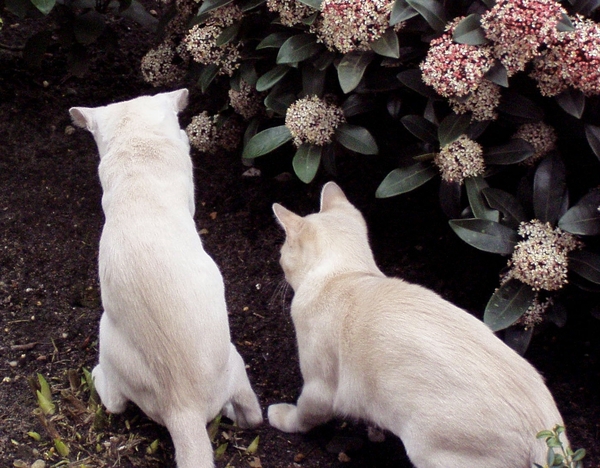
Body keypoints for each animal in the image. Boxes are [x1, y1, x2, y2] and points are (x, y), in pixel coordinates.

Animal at [268, 182, 568, 468]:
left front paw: (279, 416)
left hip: (427, 451)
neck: (347, 274)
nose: (278, 260)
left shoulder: (319, 388)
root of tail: (549, 438)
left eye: (282, 253)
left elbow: (303, 415)